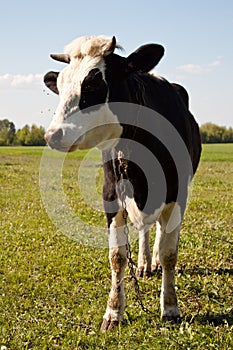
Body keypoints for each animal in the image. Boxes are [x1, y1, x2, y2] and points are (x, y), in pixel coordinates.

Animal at [43, 34, 202, 330]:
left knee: (158, 231)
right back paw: (143, 264)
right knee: (144, 229)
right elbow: (117, 256)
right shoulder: (111, 194)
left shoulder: (178, 195)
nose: (53, 135)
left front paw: (170, 308)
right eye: (60, 85)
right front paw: (113, 312)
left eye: (93, 82)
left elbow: (169, 254)